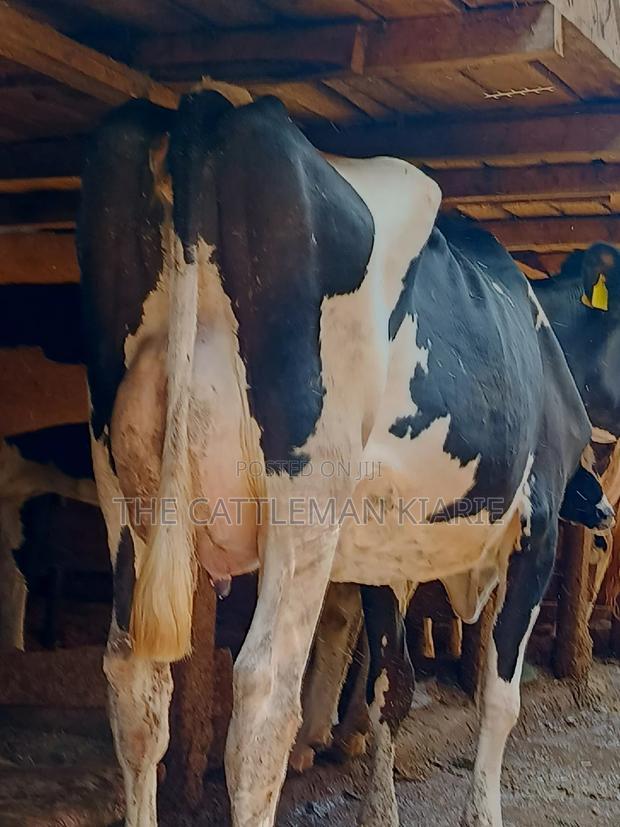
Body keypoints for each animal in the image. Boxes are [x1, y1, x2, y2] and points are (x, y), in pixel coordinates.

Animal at [76, 91, 612, 827]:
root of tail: (208, 108)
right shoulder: (540, 521)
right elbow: (499, 696)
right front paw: (481, 812)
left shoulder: (390, 554)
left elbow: (393, 684)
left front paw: (379, 810)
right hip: (306, 493)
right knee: (262, 699)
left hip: (123, 484)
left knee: (135, 685)